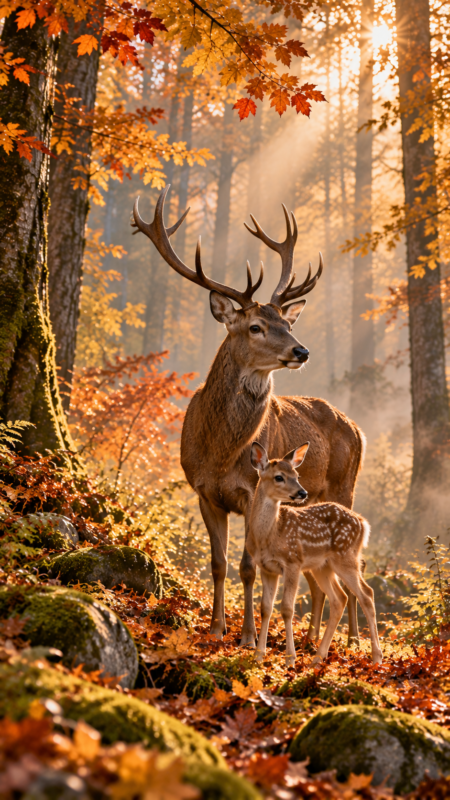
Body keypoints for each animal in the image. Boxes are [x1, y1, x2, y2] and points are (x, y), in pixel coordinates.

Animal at [132, 186, 366, 649]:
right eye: (256, 326)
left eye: (285, 323)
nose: (301, 350)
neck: (222, 451)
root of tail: (357, 429)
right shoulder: (204, 491)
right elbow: (218, 563)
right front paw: (216, 627)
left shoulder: (249, 491)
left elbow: (247, 566)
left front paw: (245, 636)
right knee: (318, 577)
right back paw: (312, 637)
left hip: (344, 487)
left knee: (350, 570)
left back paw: (349, 641)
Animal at [248, 441, 382, 666]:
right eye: (279, 477)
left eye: (297, 475)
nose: (302, 493)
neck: (269, 535)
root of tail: (363, 523)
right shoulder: (266, 567)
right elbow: (265, 608)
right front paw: (258, 656)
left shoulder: (292, 562)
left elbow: (287, 608)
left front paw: (290, 659)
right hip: (323, 567)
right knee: (340, 598)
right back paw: (318, 658)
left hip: (345, 557)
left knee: (366, 594)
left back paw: (376, 657)